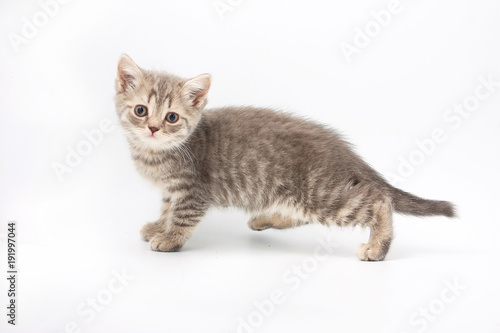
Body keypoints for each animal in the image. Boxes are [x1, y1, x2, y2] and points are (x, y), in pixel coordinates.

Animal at [115, 54, 456, 260]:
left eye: (172, 117)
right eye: (141, 110)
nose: (153, 128)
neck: (155, 153)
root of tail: (343, 149)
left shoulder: (194, 191)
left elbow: (181, 216)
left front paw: (170, 238)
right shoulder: (172, 190)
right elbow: (166, 208)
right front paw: (158, 226)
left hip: (322, 192)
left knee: (379, 202)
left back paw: (377, 247)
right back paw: (265, 218)